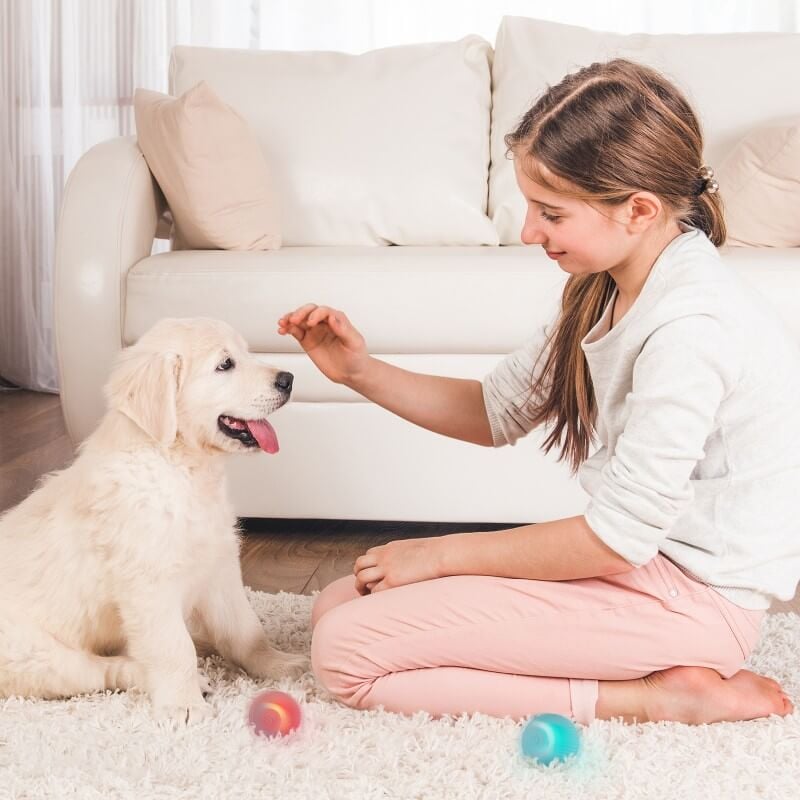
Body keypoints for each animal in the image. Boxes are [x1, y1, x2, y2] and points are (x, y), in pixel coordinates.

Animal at [0, 318, 308, 724]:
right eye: (225, 364)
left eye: (245, 352)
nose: (288, 378)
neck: (180, 467)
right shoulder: (149, 585)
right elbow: (172, 648)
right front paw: (184, 704)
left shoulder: (218, 567)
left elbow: (244, 629)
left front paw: (279, 665)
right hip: (33, 655)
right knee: (102, 668)